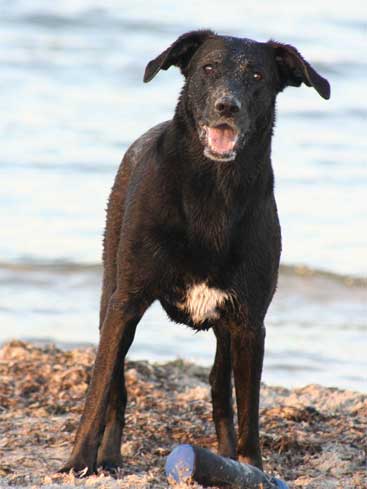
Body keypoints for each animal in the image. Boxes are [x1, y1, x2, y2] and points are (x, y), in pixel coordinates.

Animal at [61, 29, 332, 472]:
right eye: (207, 68)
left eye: (257, 75)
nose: (227, 106)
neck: (214, 191)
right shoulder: (126, 303)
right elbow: (98, 392)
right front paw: (77, 463)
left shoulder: (249, 322)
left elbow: (248, 412)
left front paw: (252, 468)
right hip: (110, 294)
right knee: (116, 385)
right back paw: (110, 456)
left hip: (226, 332)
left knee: (220, 390)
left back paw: (224, 458)